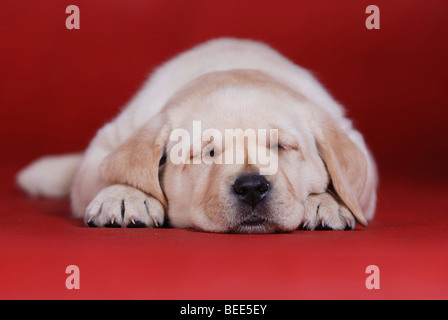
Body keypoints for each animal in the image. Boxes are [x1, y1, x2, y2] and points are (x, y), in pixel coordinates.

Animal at [15, 38, 376, 232]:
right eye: (208, 153)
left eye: (281, 146)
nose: (251, 187)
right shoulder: (110, 139)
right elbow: (111, 171)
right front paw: (125, 194)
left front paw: (324, 201)